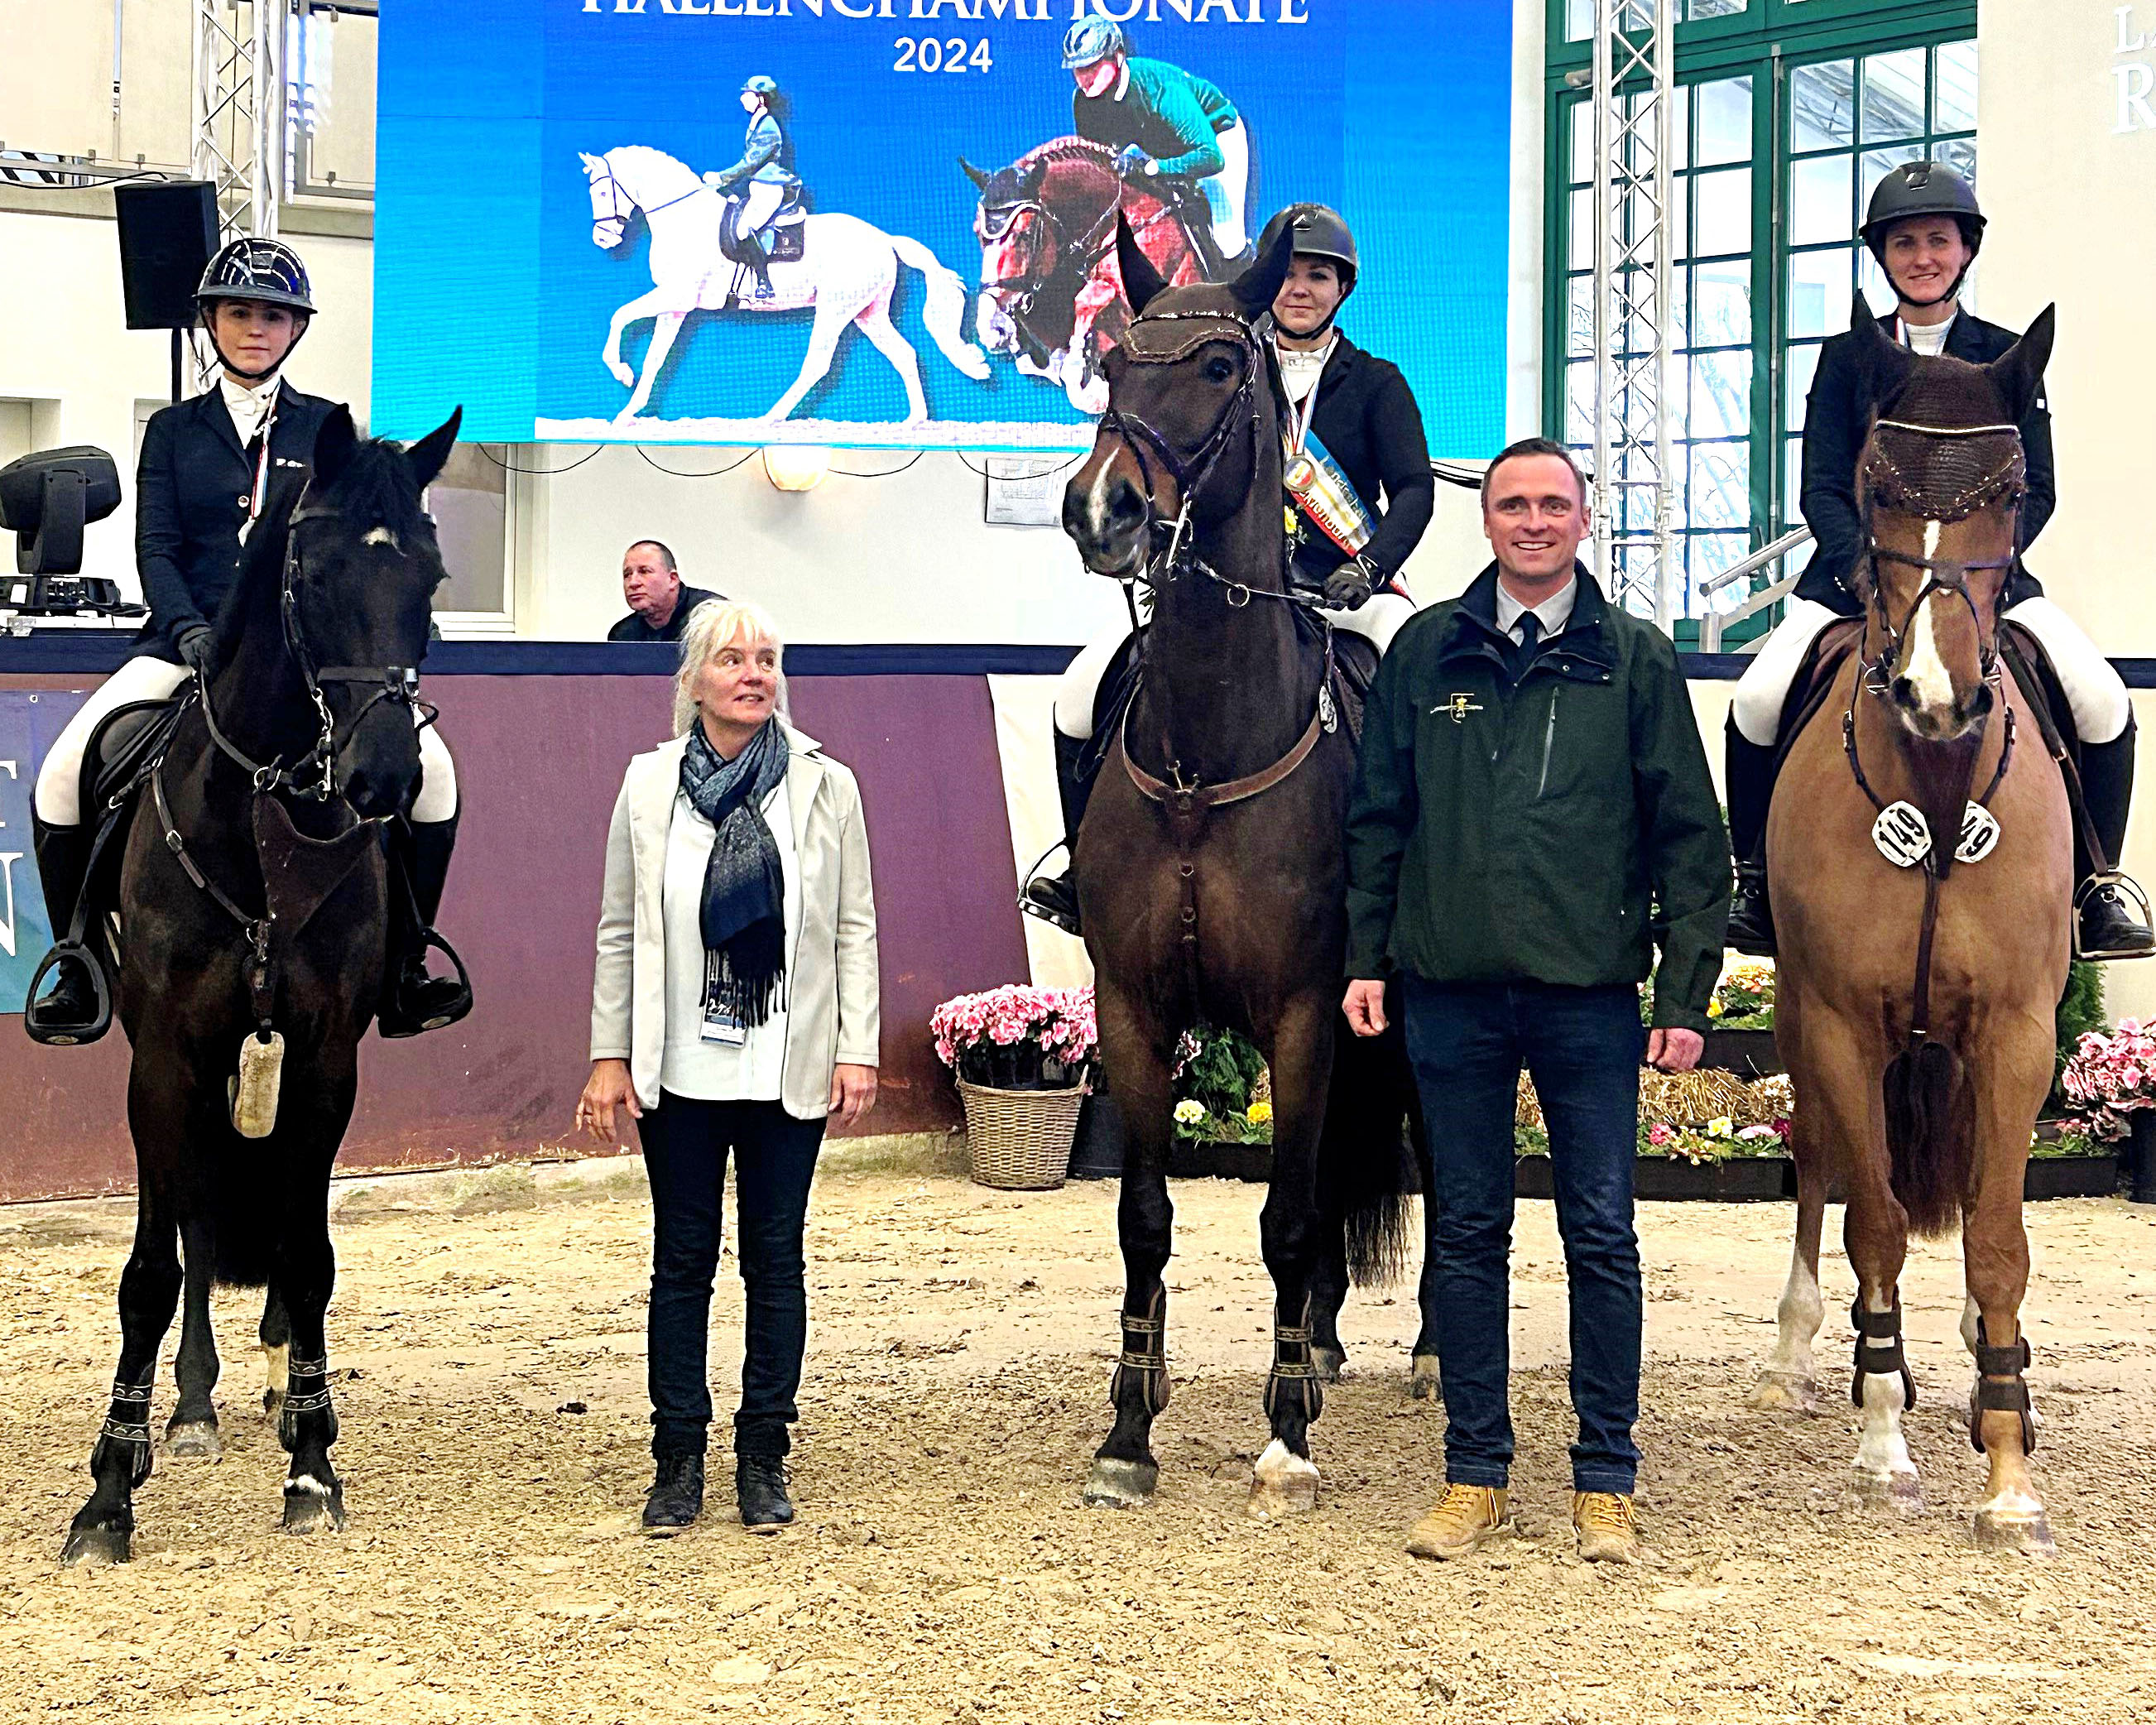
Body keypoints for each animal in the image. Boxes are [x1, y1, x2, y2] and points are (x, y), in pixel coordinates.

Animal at [63, 405, 461, 1561]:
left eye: (430, 575)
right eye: (314, 573)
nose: (384, 778)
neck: (262, 823)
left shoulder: (326, 1055)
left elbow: (310, 1251)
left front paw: (314, 1463)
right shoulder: (166, 1056)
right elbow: (154, 1267)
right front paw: (108, 1493)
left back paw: (282, 1391)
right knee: (192, 1219)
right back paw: (186, 1410)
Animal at [1056, 222, 1414, 1517]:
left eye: (1217, 365)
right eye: (1113, 359)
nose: (1098, 508)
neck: (1209, 746)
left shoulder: (1309, 1014)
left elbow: (1292, 1220)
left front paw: (1286, 1434)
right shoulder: (1132, 1008)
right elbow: (1144, 1217)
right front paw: (1127, 1427)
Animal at [1741, 304, 2061, 1552]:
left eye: (2012, 489)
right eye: (1877, 483)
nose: (1934, 692)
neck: (1934, 780)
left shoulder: (2017, 1030)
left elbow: (1997, 1236)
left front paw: (2009, 1472)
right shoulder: (1837, 1022)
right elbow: (1873, 1221)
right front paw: (1881, 1439)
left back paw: (1981, 1366)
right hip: (1806, 1029)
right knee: (1824, 1167)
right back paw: (1805, 1354)